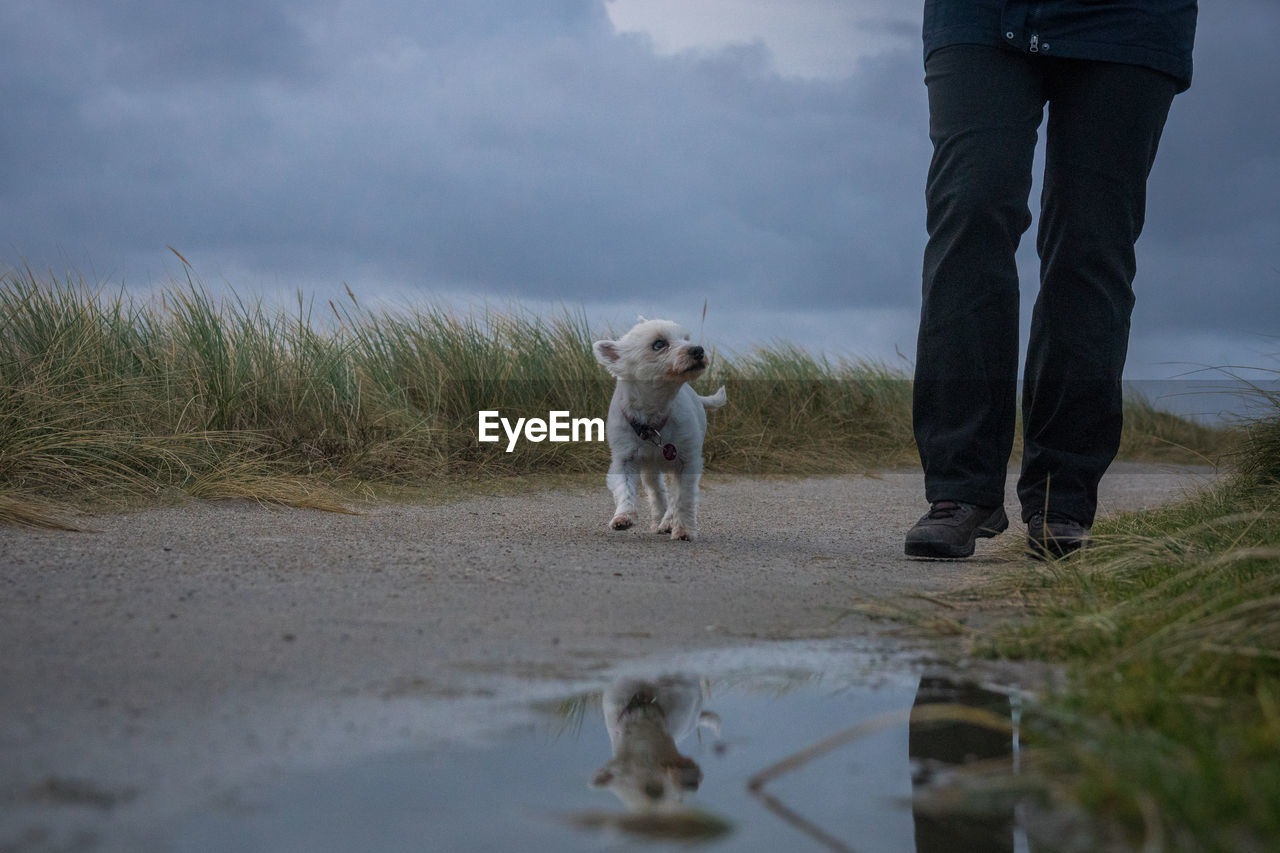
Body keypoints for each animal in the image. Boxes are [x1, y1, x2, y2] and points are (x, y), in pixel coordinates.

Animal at [591, 318, 727, 537]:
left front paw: (683, 529)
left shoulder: (688, 462)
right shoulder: (624, 458)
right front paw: (623, 516)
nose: (698, 349)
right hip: (650, 469)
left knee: (673, 497)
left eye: (685, 338)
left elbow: (683, 498)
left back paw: (668, 521)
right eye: (659, 344)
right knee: (657, 491)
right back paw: (659, 521)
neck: (652, 419)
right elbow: (625, 488)